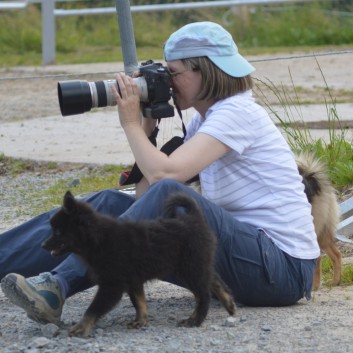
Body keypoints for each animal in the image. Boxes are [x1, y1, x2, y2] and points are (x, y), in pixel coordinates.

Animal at [42, 190, 235, 336]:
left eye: (58, 232)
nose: (43, 245)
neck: (98, 238)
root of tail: (194, 218)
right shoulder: (132, 281)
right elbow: (139, 302)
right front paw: (140, 321)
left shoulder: (112, 285)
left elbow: (93, 308)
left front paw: (81, 328)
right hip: (196, 264)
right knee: (215, 280)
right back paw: (229, 304)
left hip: (189, 269)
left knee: (203, 294)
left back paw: (195, 320)